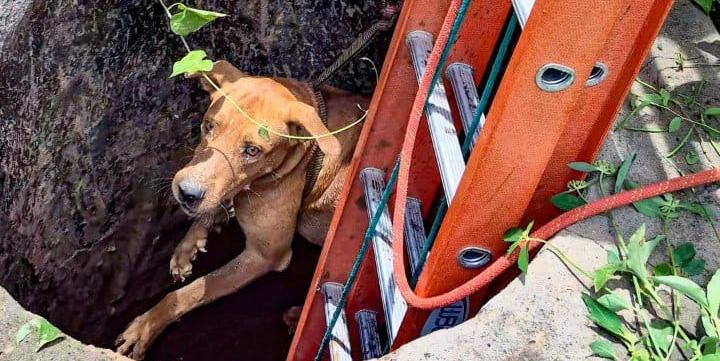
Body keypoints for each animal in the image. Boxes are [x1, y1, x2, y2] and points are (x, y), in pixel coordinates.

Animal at [117, 60, 368, 358]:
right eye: (208, 125)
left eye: (252, 150)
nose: (187, 193)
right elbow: (216, 203)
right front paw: (189, 245)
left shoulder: (264, 255)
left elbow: (190, 292)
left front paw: (146, 325)